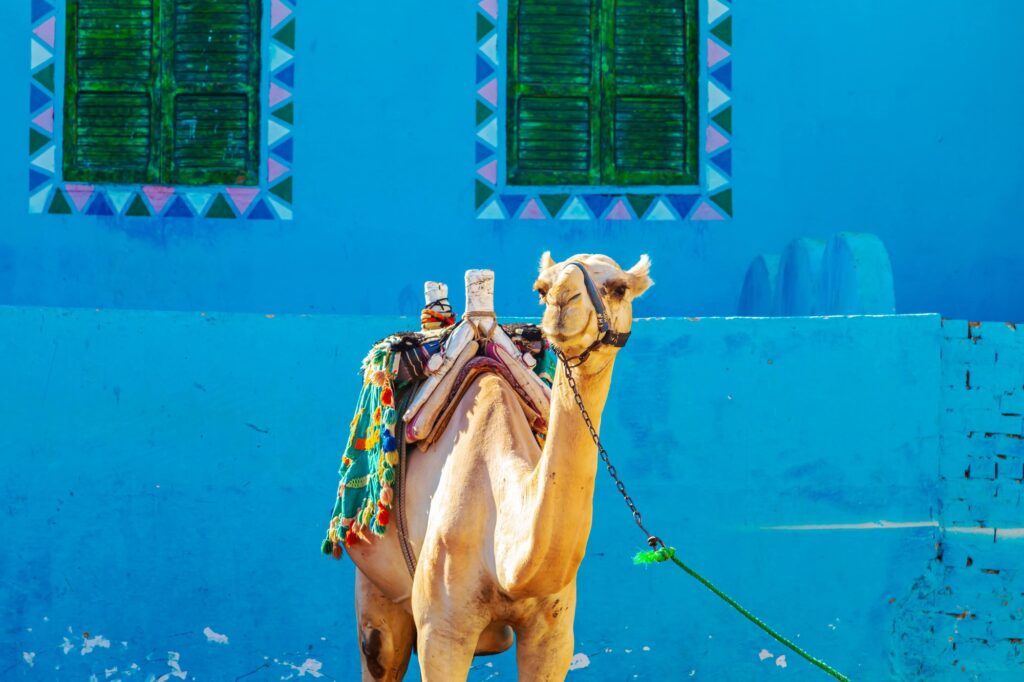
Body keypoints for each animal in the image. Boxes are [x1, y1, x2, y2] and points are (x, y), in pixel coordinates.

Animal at [345, 252, 653, 681]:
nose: (562, 300)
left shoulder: (554, 634)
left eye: (619, 287)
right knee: (379, 649)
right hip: (375, 585)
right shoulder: (441, 631)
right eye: (541, 288)